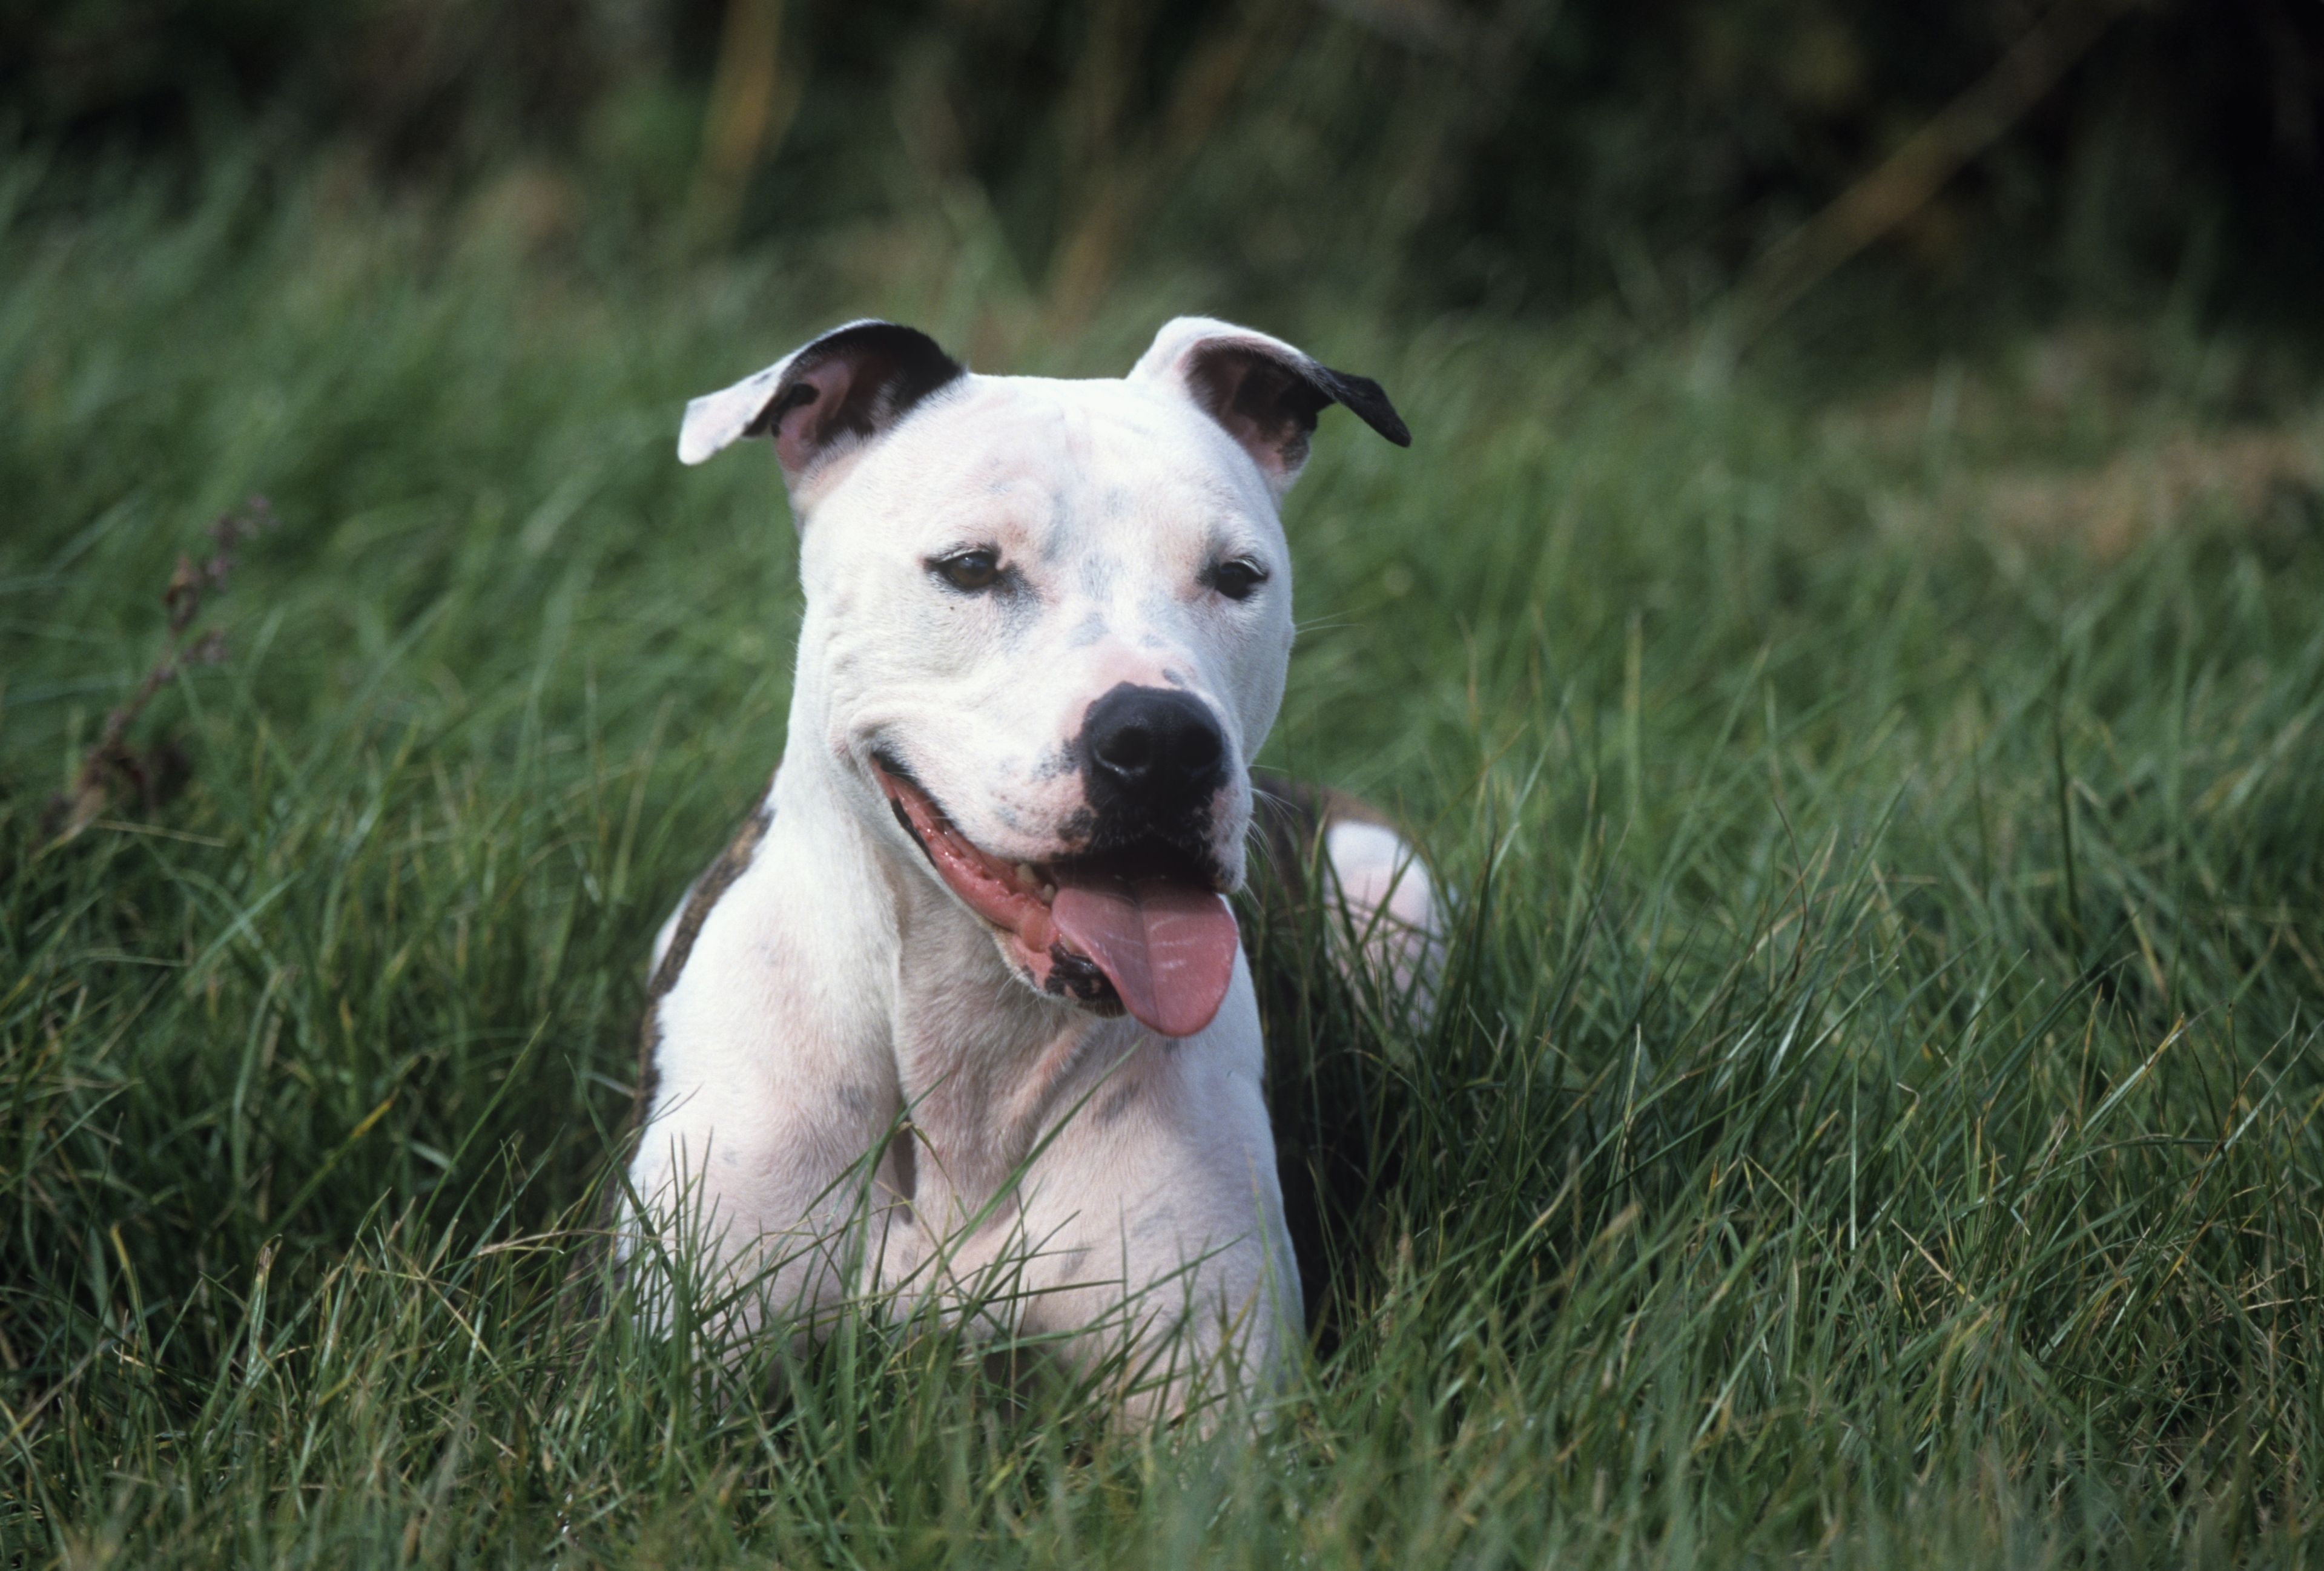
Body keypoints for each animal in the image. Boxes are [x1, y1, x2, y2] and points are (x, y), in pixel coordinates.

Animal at [627, 316, 1441, 1412]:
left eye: (1237, 576)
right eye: (971, 567)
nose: (1163, 740)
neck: (973, 1047)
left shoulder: (1213, 1398)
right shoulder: (678, 1370)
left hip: (1382, 874)